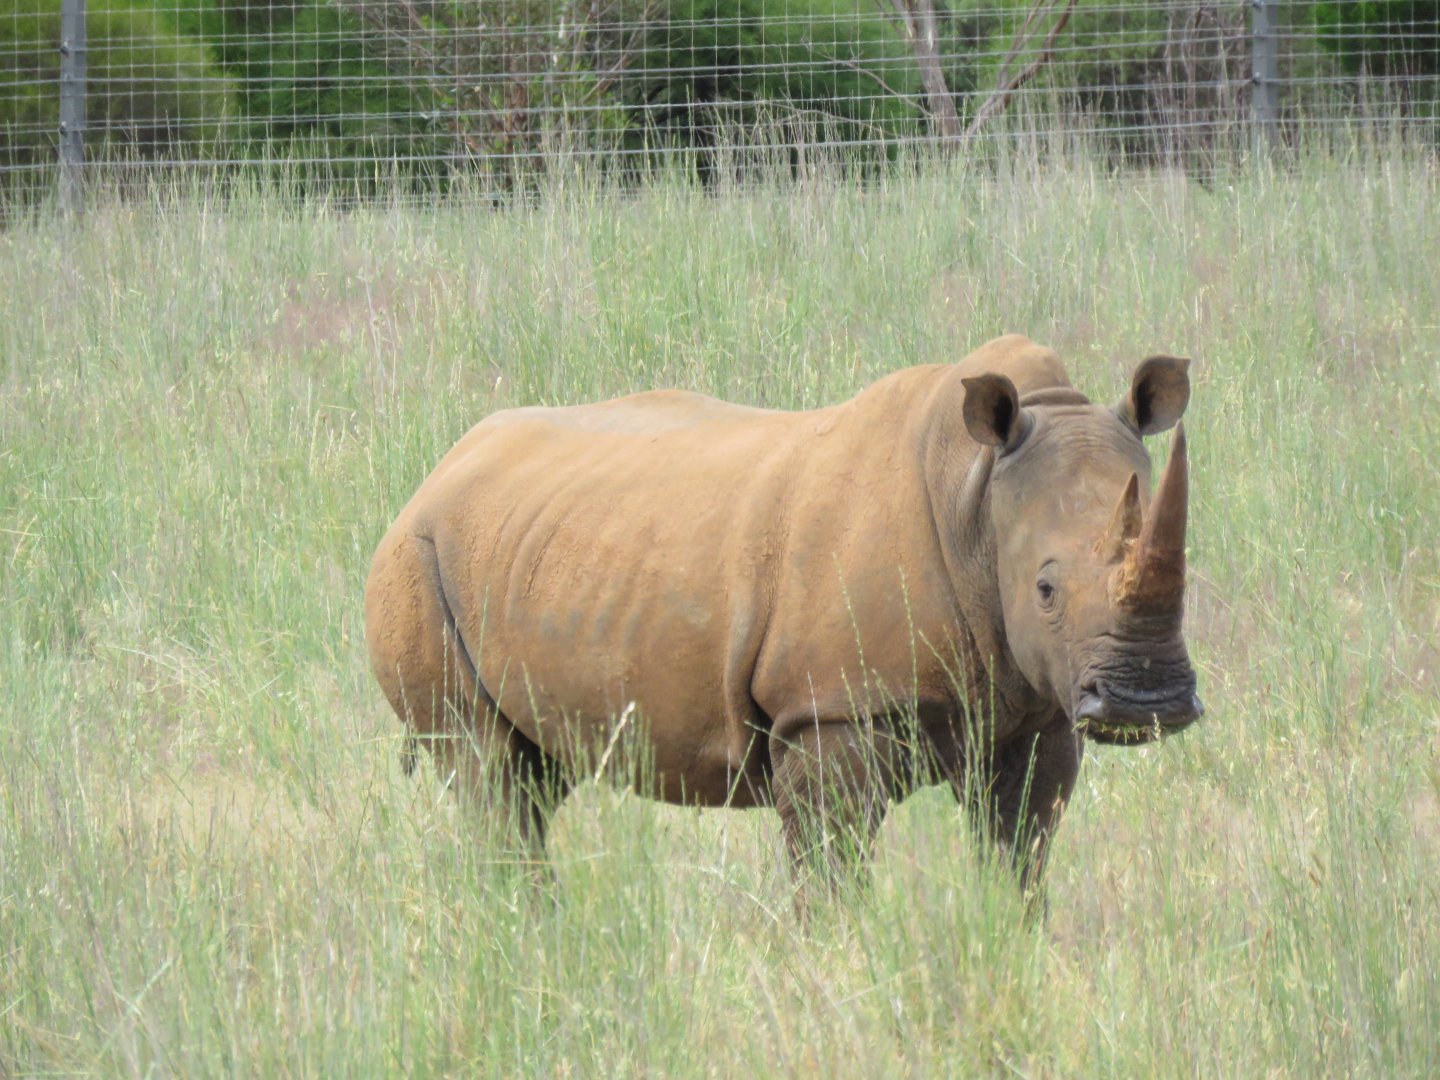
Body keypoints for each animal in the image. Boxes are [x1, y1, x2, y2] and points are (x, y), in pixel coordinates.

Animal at [364, 334, 1203, 896]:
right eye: (1045, 590)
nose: (1146, 702)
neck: (976, 496)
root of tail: (437, 470)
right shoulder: (831, 708)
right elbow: (832, 874)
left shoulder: (1036, 709)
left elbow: (1018, 856)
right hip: (415, 556)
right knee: (488, 772)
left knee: (534, 775)